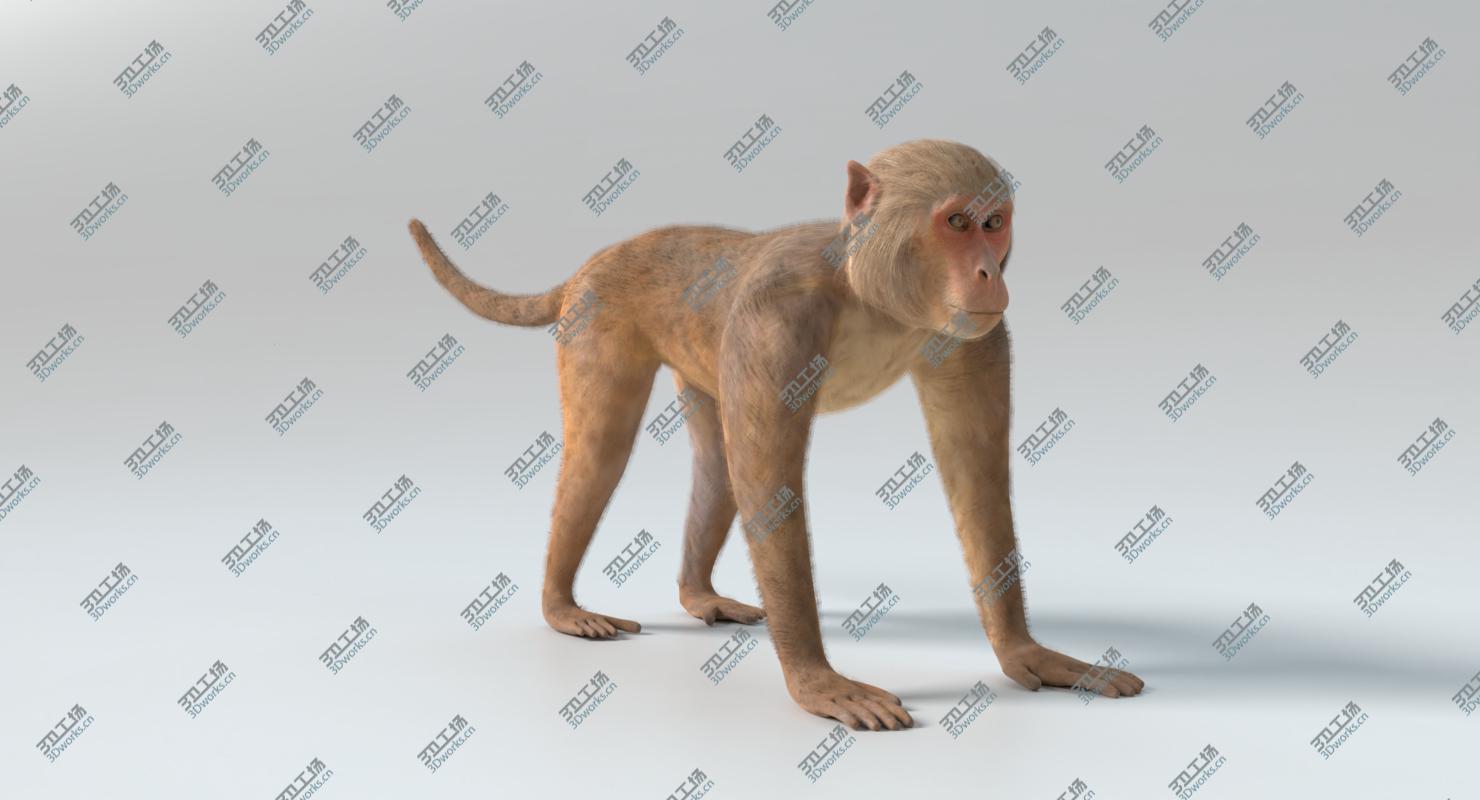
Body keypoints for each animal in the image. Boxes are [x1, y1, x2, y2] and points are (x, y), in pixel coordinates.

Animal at [408, 139, 1144, 731]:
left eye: (995, 223)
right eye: (957, 222)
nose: (990, 270)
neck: (867, 294)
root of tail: (594, 263)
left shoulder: (972, 335)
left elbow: (976, 476)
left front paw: (1027, 652)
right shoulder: (775, 320)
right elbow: (773, 486)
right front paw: (818, 683)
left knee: (715, 461)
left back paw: (698, 595)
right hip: (596, 318)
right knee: (602, 452)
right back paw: (563, 607)